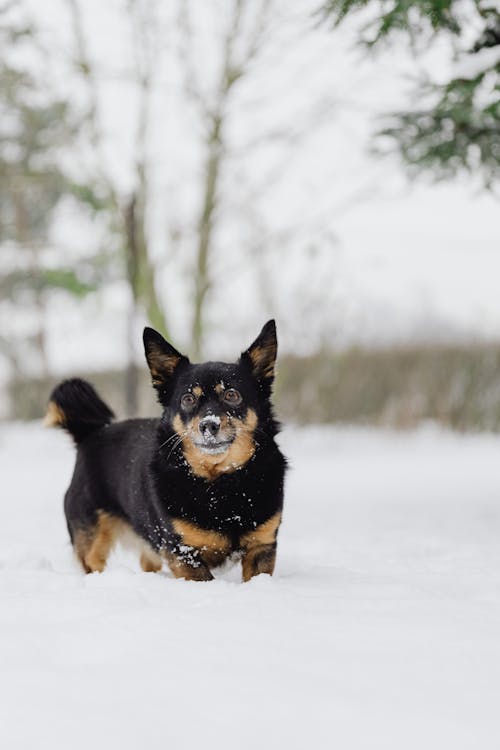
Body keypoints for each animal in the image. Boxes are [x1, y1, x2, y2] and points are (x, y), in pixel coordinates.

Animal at [47, 320, 290, 584]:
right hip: (92, 539)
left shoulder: (262, 546)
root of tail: (92, 433)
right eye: (188, 399)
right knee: (92, 562)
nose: (209, 425)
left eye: (231, 395)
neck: (220, 483)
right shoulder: (184, 553)